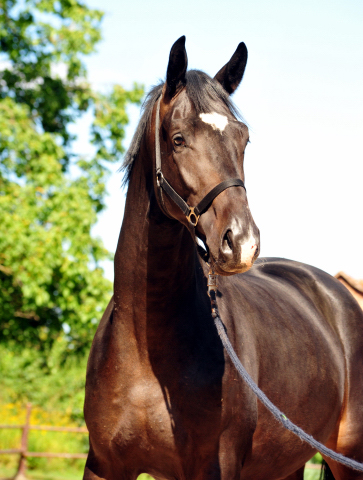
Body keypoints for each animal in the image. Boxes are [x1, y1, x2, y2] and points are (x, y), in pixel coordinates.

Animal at [84, 37, 363, 480]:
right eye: (178, 139)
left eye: (243, 139)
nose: (242, 242)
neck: (146, 347)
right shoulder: (103, 464)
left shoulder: (218, 467)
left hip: (347, 454)